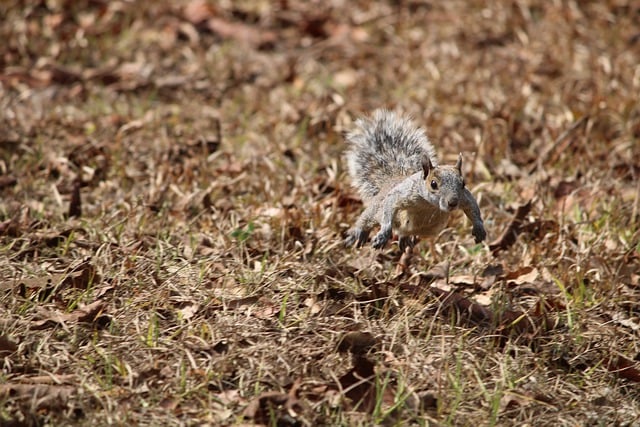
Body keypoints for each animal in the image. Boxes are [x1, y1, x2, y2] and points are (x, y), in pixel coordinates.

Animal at [344, 108, 484, 252]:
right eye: (433, 184)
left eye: (463, 183)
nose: (453, 203)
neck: (430, 205)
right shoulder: (404, 193)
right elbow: (390, 204)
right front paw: (384, 233)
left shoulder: (464, 197)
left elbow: (472, 205)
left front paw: (479, 228)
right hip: (376, 207)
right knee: (366, 219)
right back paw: (357, 234)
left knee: (403, 232)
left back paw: (404, 240)